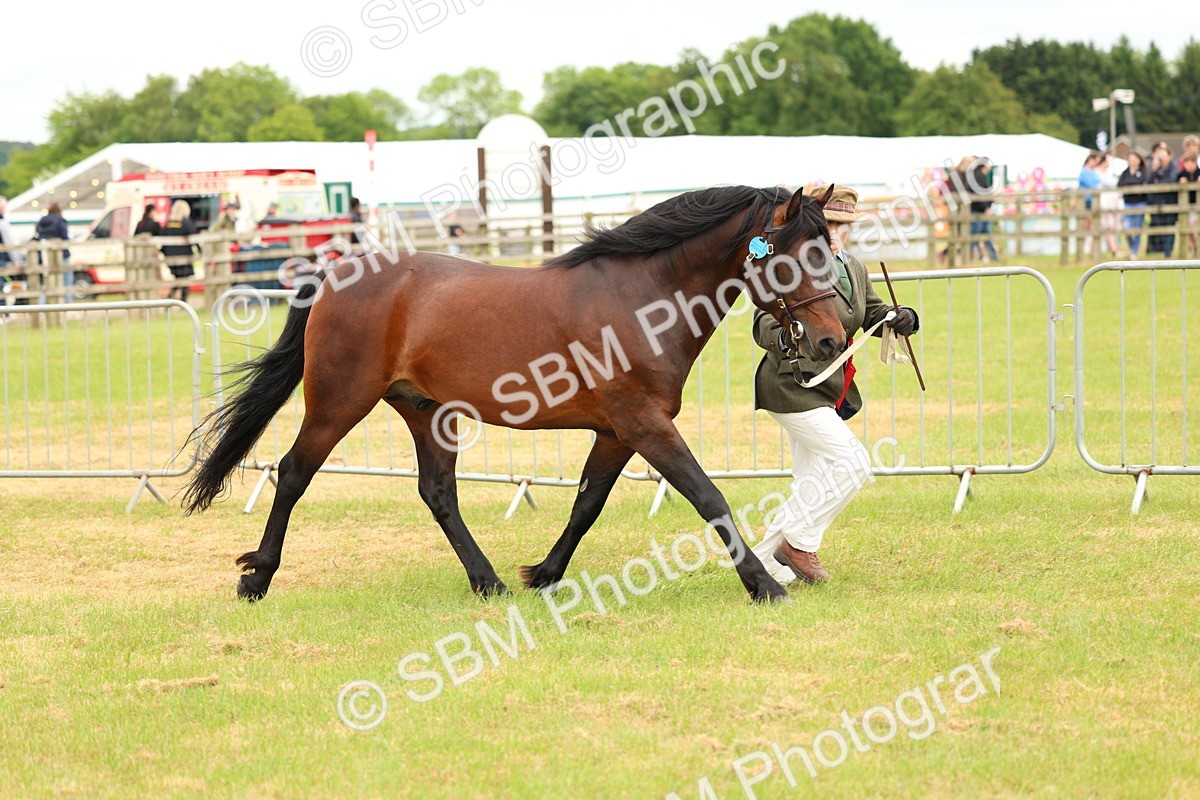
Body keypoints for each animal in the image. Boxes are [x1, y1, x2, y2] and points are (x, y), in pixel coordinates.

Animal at [182, 184, 845, 604]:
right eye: (793, 259)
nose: (830, 338)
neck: (642, 297)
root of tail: (334, 273)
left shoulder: (617, 431)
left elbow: (587, 504)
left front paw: (543, 574)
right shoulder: (645, 424)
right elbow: (710, 498)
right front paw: (766, 586)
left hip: (426, 412)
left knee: (438, 493)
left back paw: (489, 582)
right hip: (339, 401)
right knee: (294, 473)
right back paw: (256, 579)